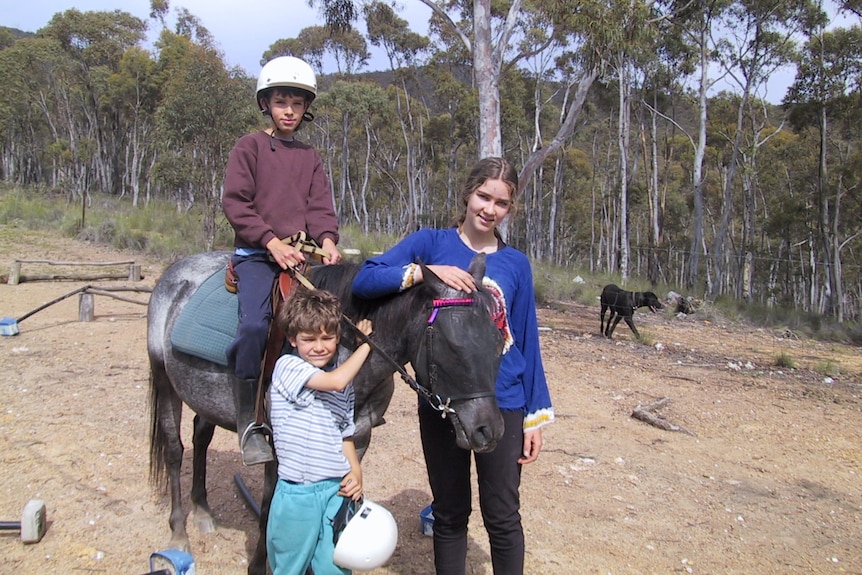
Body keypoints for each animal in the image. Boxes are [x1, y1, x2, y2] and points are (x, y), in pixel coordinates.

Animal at [148, 253, 506, 575]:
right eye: (451, 345)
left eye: (497, 341)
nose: (489, 431)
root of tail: (175, 272)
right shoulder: (281, 446)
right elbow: (269, 506)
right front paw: (260, 565)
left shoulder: (358, 437)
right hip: (165, 382)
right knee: (175, 450)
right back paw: (179, 534)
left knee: (201, 435)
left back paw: (203, 512)